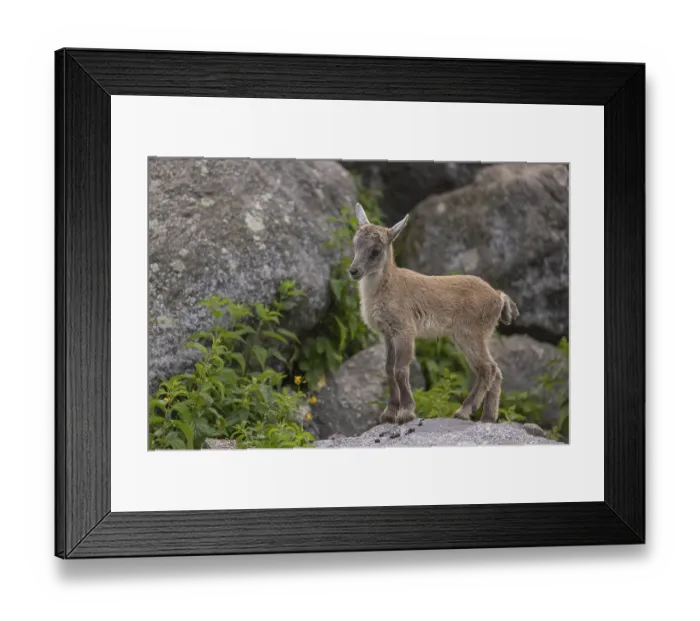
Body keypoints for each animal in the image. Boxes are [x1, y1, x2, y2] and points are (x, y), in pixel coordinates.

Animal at [348, 203, 519, 425]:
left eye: (376, 251)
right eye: (355, 244)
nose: (354, 271)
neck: (388, 286)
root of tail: (498, 297)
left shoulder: (405, 330)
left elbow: (400, 370)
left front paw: (406, 412)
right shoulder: (387, 334)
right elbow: (388, 369)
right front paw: (389, 413)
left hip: (470, 334)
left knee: (488, 369)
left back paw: (464, 411)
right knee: (495, 371)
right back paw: (488, 417)